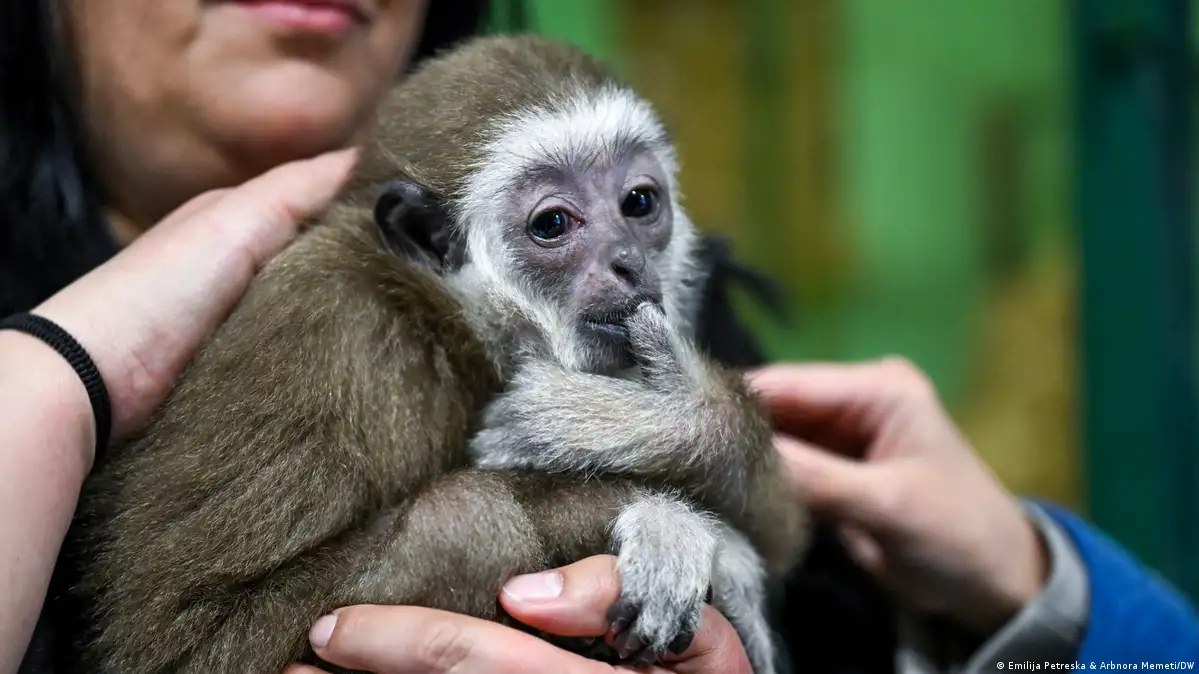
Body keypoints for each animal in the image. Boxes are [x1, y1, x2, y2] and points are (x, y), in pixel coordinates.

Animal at [60, 34, 808, 674]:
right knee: (465, 521)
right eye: (553, 223)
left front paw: (669, 424)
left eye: (639, 202)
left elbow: (782, 531)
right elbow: (192, 637)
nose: (628, 261)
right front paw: (677, 526)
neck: (455, 322)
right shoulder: (326, 326)